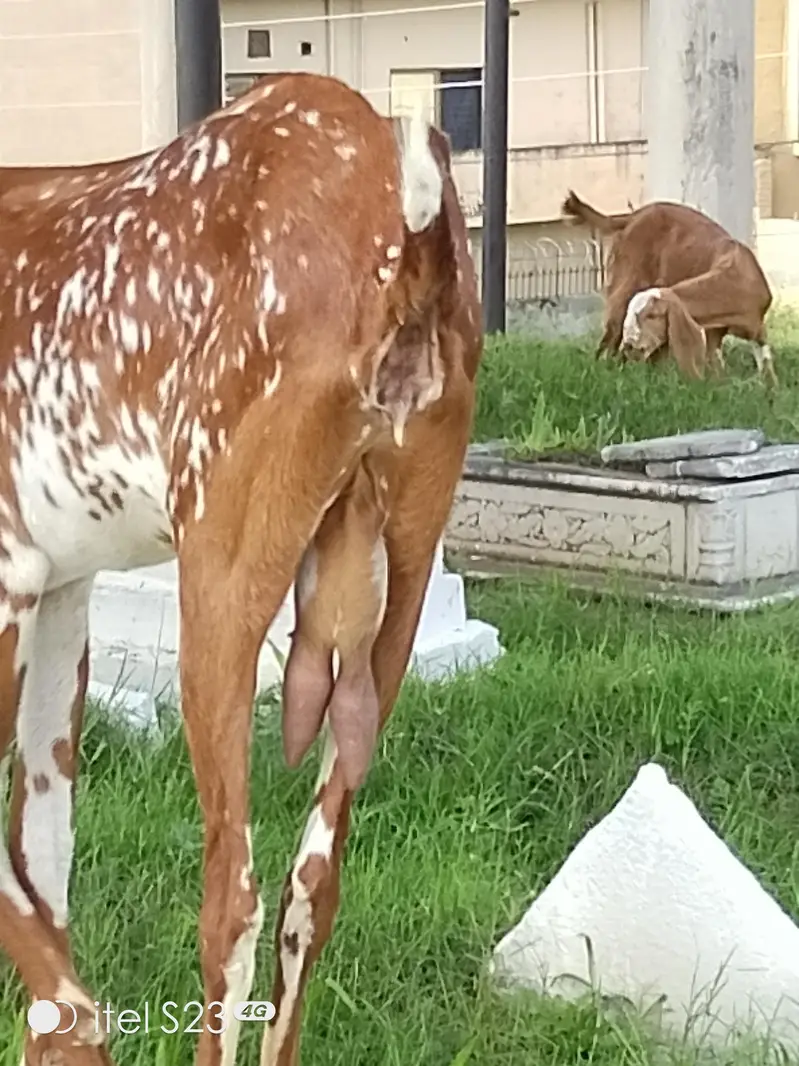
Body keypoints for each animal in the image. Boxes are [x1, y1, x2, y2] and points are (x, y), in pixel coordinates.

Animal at [0, 71, 481, 1066]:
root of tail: (408, 248)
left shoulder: (9, 579)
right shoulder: (59, 592)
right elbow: (44, 869)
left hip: (218, 579)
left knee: (234, 897)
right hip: (404, 580)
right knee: (312, 886)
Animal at [562, 190, 776, 383]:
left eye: (652, 315)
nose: (630, 345)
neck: (736, 281)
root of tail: (633, 216)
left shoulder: (756, 328)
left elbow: (767, 371)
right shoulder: (712, 333)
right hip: (624, 285)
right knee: (609, 338)